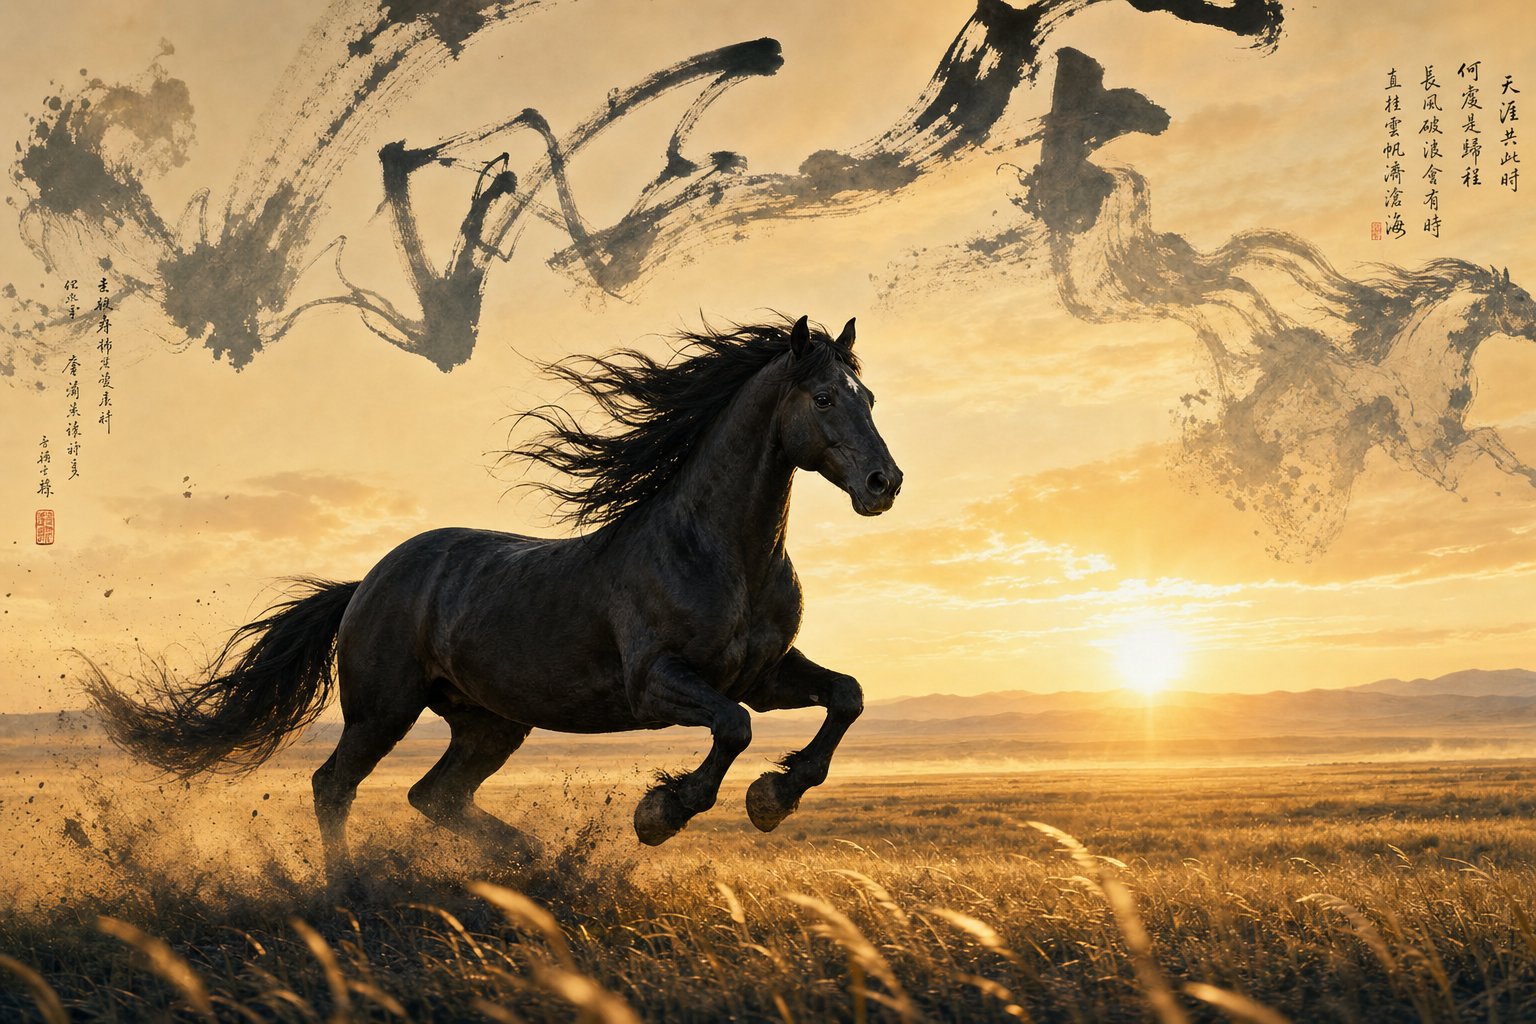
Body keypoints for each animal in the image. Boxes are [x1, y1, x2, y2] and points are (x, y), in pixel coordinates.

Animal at [84, 315, 902, 875]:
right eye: (824, 398)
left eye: (869, 395)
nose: (883, 483)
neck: (720, 552)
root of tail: (367, 583)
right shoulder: (658, 683)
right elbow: (732, 728)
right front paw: (661, 812)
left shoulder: (762, 673)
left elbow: (848, 695)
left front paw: (775, 796)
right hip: (383, 709)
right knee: (333, 785)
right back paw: (347, 887)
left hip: (490, 722)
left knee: (435, 797)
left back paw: (526, 857)